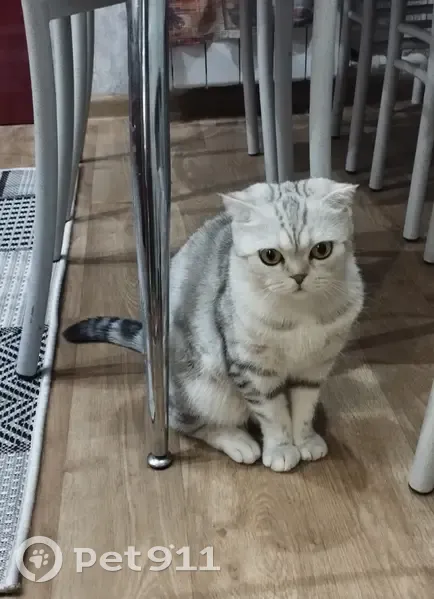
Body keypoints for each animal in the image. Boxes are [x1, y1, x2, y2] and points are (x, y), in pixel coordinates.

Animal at [63, 178, 364, 472]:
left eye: (321, 250)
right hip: (200, 389)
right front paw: (281, 448)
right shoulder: (253, 367)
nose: (299, 276)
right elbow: (273, 413)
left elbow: (303, 408)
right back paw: (238, 441)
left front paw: (305, 440)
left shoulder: (315, 366)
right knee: (186, 422)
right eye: (270, 256)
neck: (301, 314)